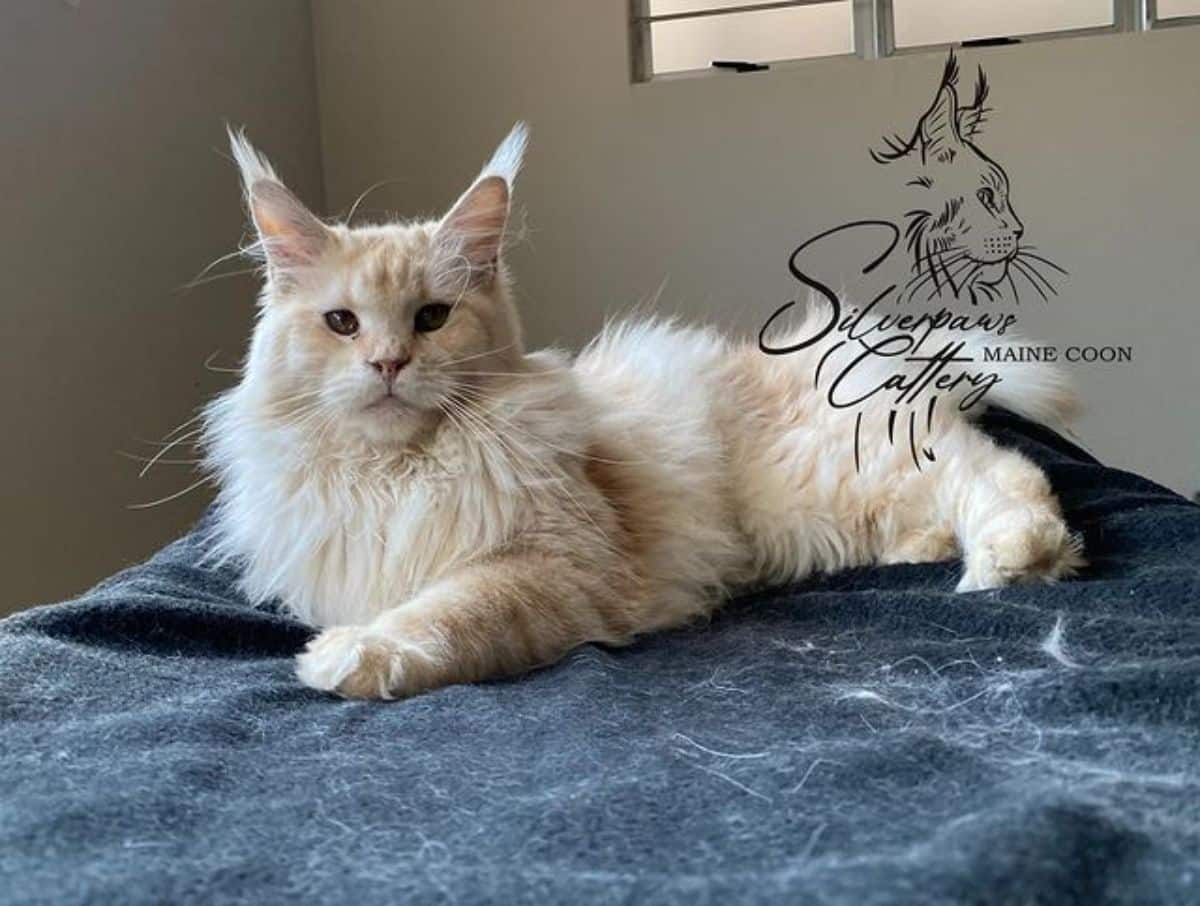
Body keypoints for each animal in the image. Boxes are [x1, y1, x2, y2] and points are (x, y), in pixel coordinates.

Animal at [201, 122, 1084, 700]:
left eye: (432, 318)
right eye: (342, 324)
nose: (388, 364)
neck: (395, 472)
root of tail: (863, 341)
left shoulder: (555, 566)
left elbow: (447, 614)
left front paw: (353, 657)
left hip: (847, 474)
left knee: (1004, 473)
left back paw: (1014, 558)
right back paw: (924, 549)